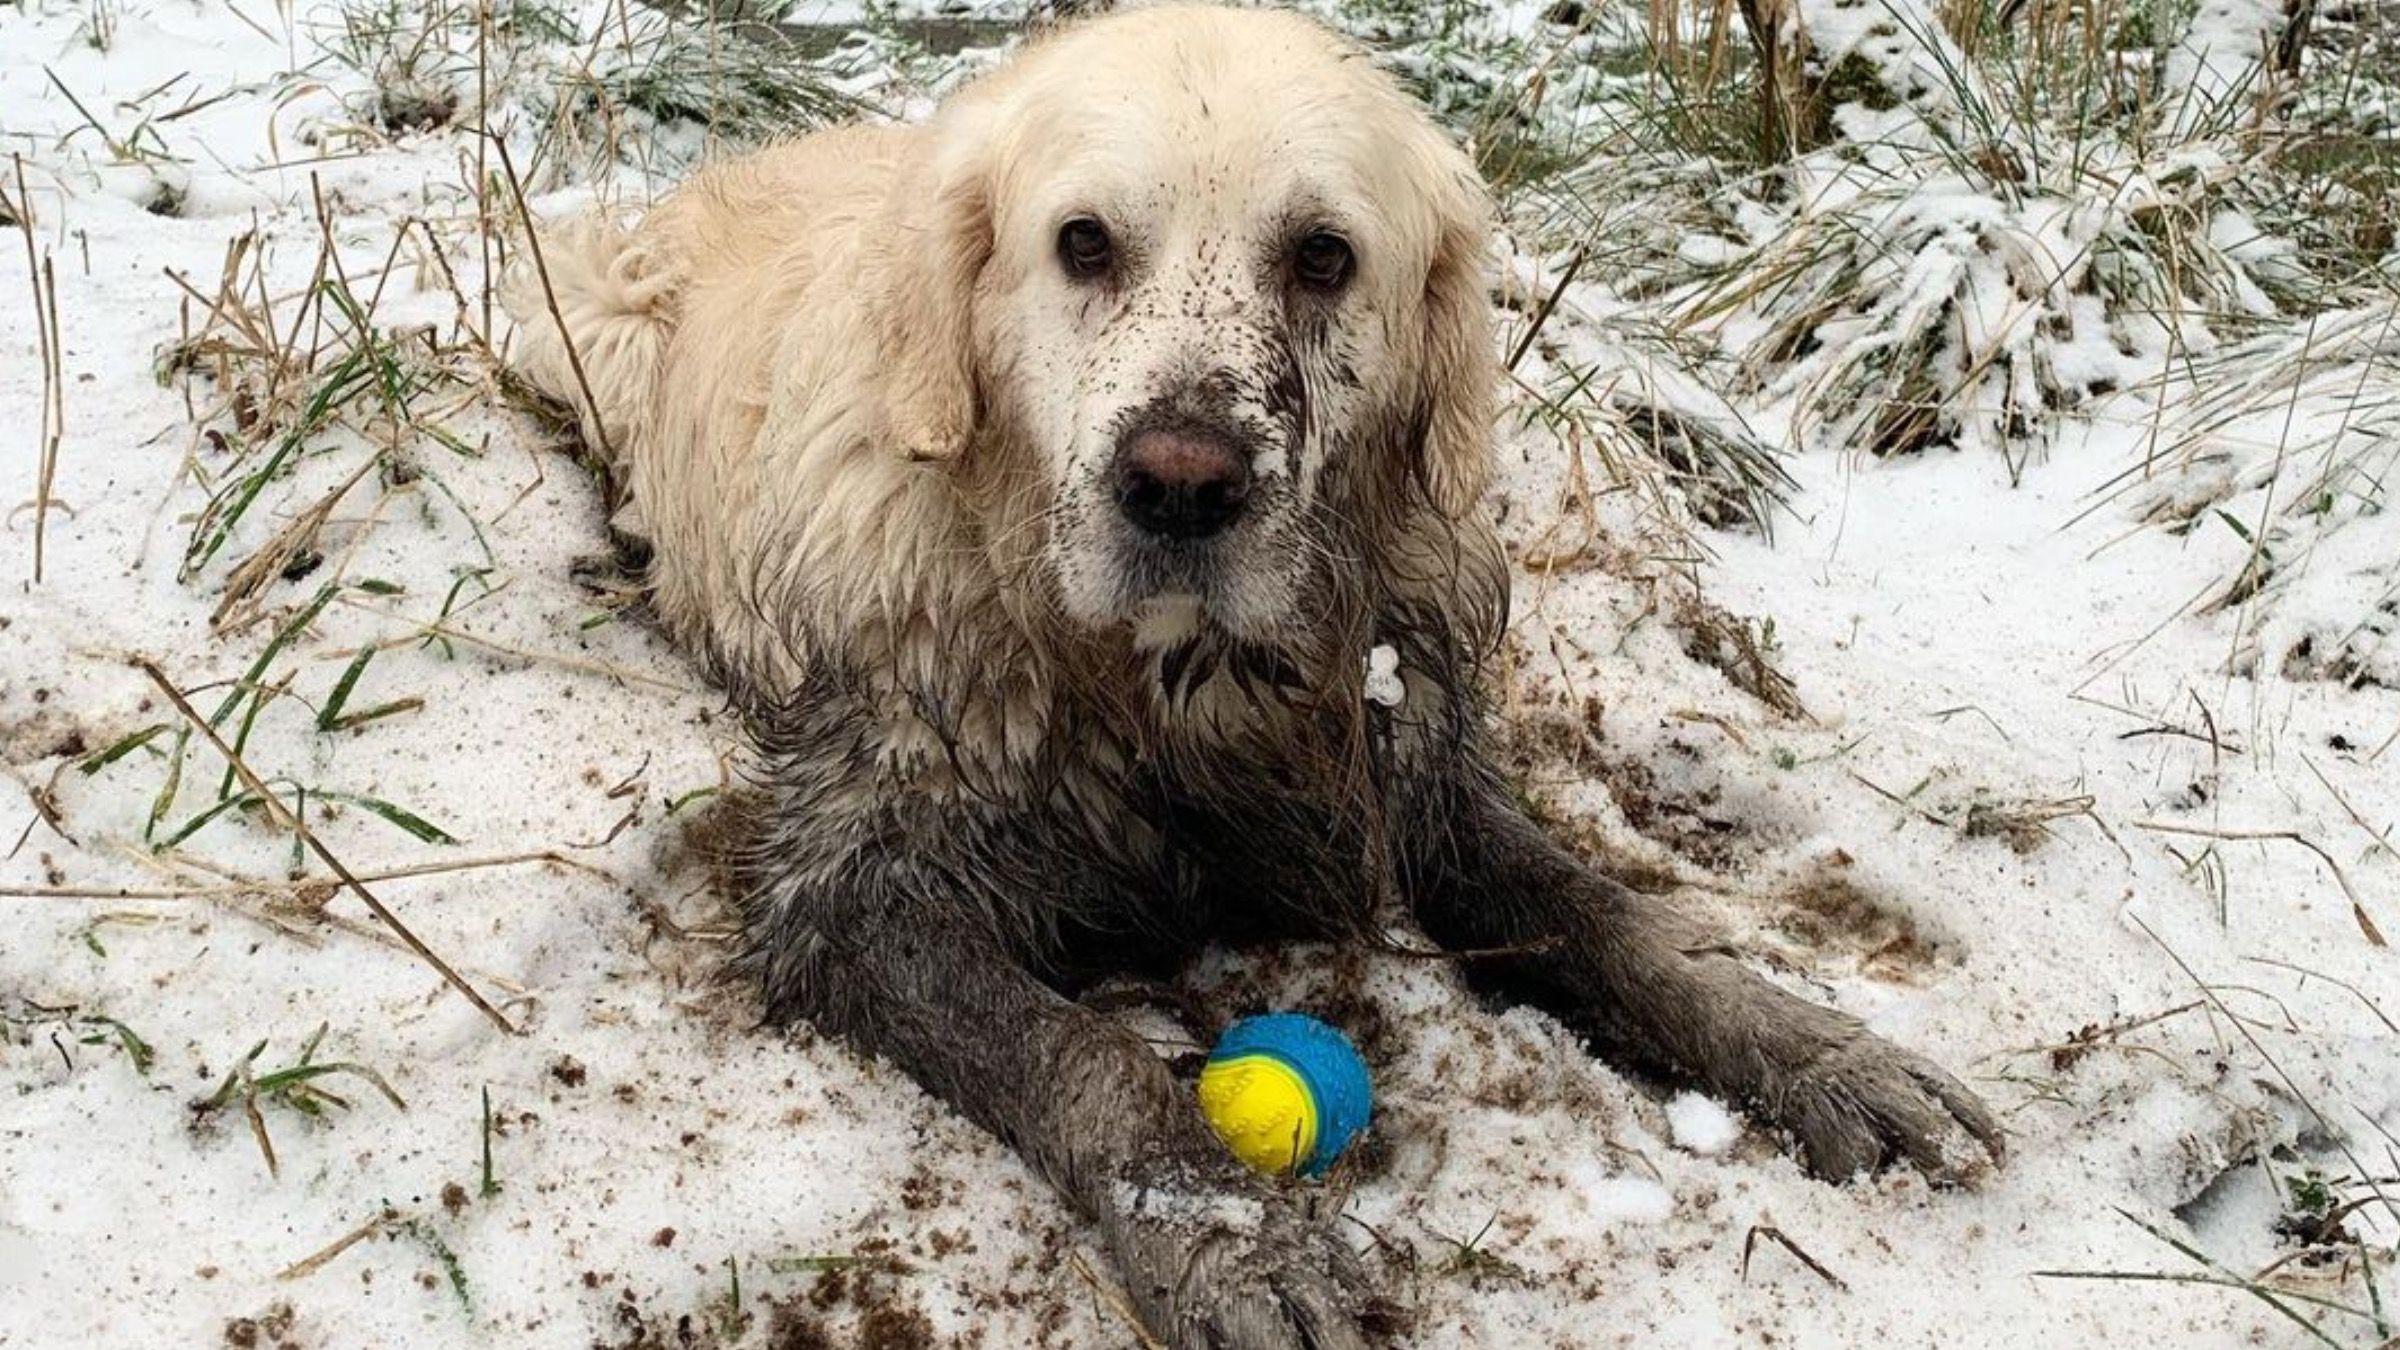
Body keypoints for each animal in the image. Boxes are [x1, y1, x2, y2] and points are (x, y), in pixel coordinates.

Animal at [511, 5, 2006, 1335]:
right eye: (1082, 243)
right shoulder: (846, 890)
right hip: (585, 321)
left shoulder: (1411, 768)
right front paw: (1235, 1245)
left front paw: (1823, 1050)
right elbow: (1089, 1053)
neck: (1164, 683)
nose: (1180, 484)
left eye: (1323, 256)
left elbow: (1607, 912)